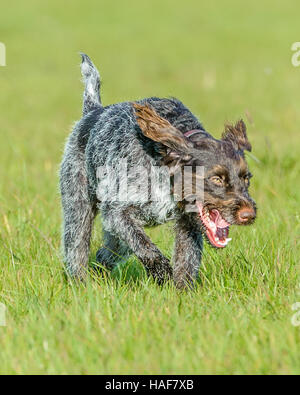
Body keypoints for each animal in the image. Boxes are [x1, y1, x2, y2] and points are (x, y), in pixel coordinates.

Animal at [59, 54, 256, 290]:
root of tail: (93, 111)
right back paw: (80, 283)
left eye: (246, 179)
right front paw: (162, 273)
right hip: (78, 208)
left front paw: (182, 293)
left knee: (105, 254)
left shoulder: (187, 224)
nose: (249, 215)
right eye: (216, 179)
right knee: (77, 249)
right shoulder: (118, 212)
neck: (165, 163)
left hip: (113, 235)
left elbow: (186, 261)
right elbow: (146, 247)